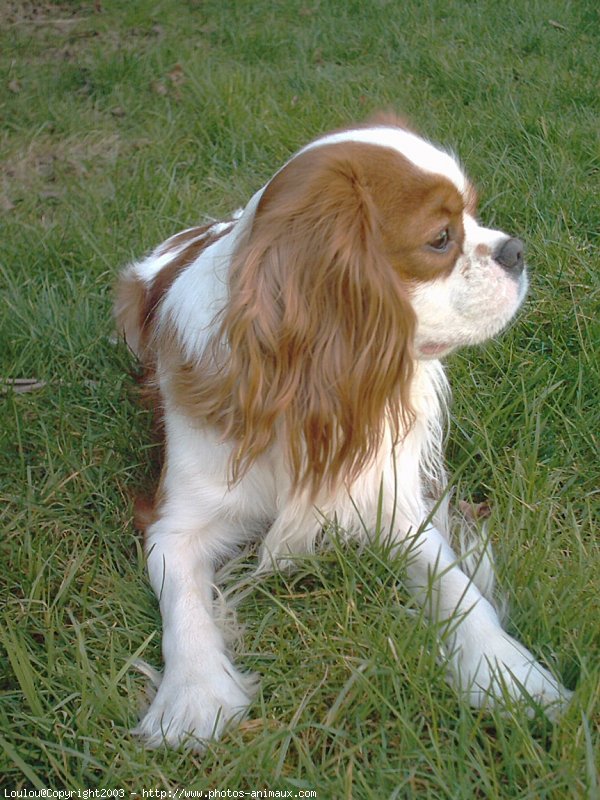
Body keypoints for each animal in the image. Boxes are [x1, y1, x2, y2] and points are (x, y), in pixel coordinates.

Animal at [113, 114, 572, 752]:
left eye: (476, 215)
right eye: (440, 239)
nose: (515, 250)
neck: (298, 386)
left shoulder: (393, 502)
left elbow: (458, 589)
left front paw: (507, 671)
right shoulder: (173, 524)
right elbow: (184, 604)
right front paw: (193, 696)